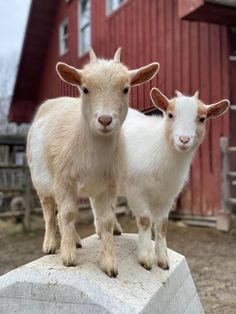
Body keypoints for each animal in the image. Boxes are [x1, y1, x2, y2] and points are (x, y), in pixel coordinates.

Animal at [26, 49, 159, 278]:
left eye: (125, 89)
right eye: (85, 89)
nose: (105, 120)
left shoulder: (109, 185)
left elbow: (105, 221)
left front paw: (109, 263)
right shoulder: (64, 179)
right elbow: (68, 214)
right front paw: (68, 256)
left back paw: (76, 240)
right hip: (41, 181)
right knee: (50, 211)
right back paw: (51, 244)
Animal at [121, 88, 229, 270]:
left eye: (202, 118)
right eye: (170, 115)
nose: (184, 140)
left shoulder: (168, 196)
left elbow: (163, 225)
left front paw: (163, 259)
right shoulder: (136, 190)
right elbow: (145, 220)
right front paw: (146, 257)